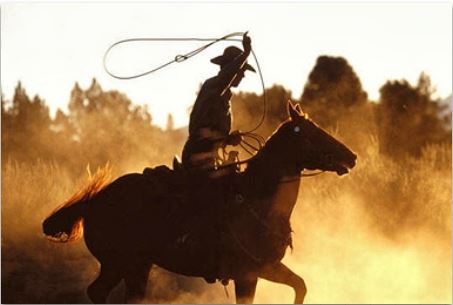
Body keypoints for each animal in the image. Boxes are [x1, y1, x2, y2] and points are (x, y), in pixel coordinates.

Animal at [41, 101, 356, 302]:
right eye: (313, 132)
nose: (351, 156)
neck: (259, 204)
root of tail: (94, 200)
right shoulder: (248, 274)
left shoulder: (267, 269)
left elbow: (300, 286)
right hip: (118, 263)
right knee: (97, 292)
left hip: (138, 267)